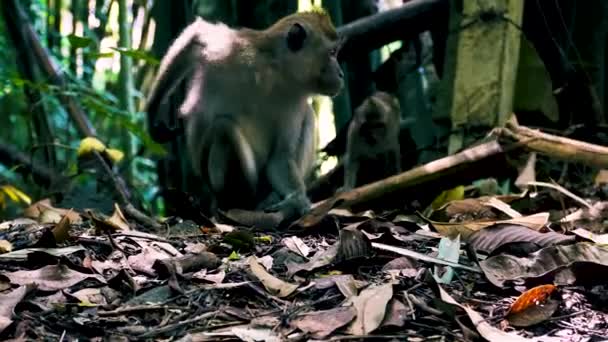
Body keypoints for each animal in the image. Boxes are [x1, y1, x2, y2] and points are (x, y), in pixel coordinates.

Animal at [143, 10, 342, 219]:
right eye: (332, 53)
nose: (341, 74)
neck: (275, 74)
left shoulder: (295, 101)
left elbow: (280, 156)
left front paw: (296, 200)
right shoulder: (234, 48)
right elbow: (197, 35)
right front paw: (152, 113)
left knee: (309, 116)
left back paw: (268, 198)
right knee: (223, 129)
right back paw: (236, 200)